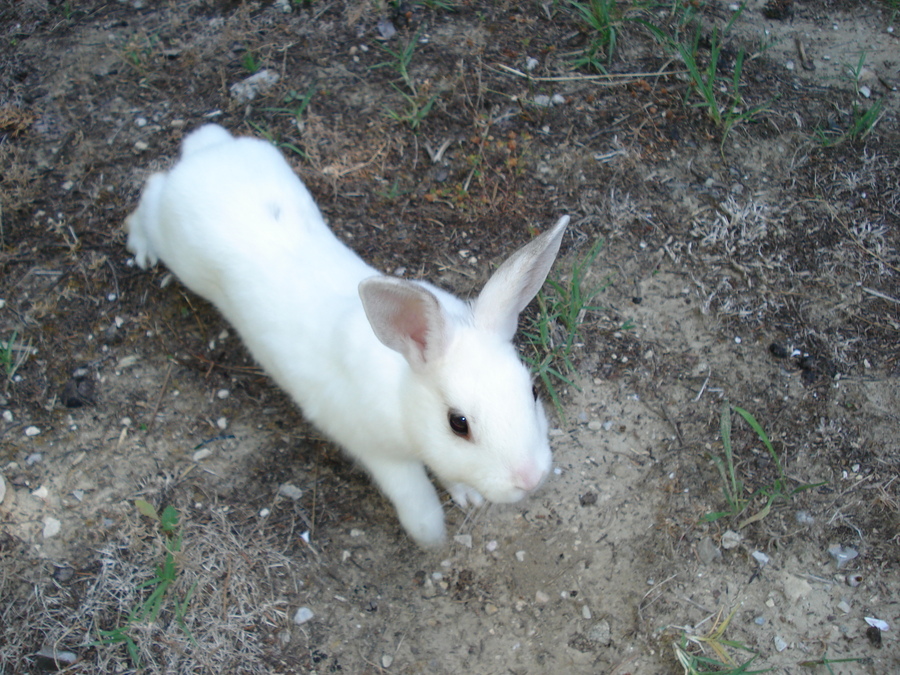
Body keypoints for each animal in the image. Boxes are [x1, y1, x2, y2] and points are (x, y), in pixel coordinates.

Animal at [126, 125, 568, 548]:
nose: (531, 478)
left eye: (532, 390)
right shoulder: (379, 454)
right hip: (177, 248)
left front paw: (467, 496)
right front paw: (433, 540)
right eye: (458, 423)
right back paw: (141, 248)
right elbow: (416, 503)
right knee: (150, 192)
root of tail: (204, 153)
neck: (403, 391)